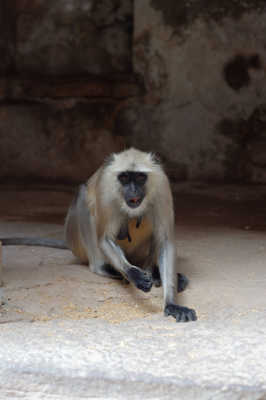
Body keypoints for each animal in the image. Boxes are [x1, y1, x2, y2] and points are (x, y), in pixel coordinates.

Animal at [65, 148, 196, 322]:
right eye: (124, 177)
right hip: (77, 244)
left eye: (140, 177)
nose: (133, 190)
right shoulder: (106, 188)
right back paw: (103, 268)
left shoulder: (161, 185)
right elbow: (105, 239)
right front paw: (133, 275)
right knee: (82, 194)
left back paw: (153, 273)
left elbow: (165, 241)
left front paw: (171, 303)